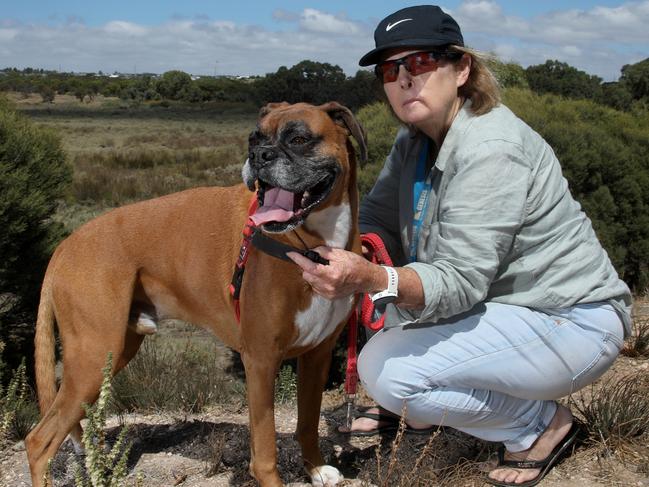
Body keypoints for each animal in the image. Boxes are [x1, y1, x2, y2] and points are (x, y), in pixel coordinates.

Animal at [25, 102, 368, 487]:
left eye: (299, 139)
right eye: (254, 138)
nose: (258, 155)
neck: (311, 246)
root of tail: (64, 247)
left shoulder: (316, 356)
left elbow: (307, 422)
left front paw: (315, 468)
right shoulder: (261, 361)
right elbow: (265, 449)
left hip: (112, 353)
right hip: (93, 354)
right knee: (39, 440)